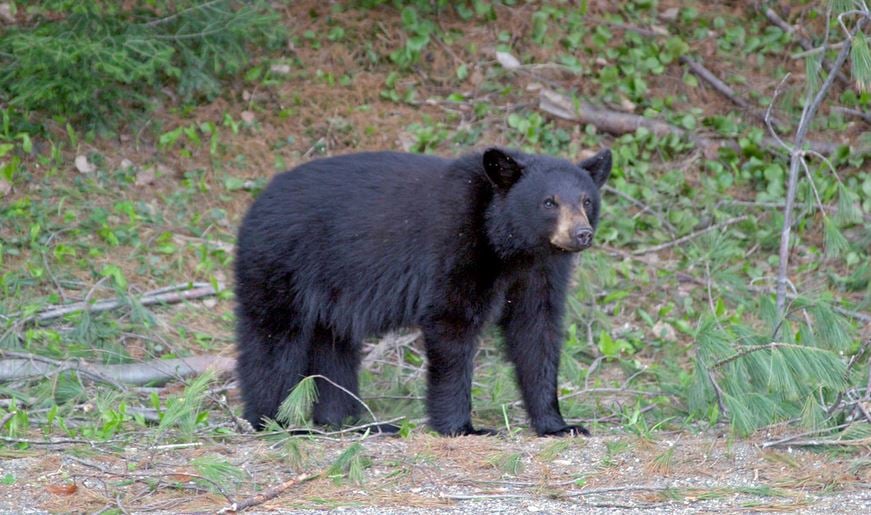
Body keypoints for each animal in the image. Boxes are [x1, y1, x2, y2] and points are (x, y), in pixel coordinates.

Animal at [235, 147, 608, 438]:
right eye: (549, 202)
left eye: (587, 200)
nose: (581, 234)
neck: (510, 245)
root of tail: (257, 202)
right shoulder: (455, 247)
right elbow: (452, 322)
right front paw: (463, 427)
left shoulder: (540, 272)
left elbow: (536, 332)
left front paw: (559, 424)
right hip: (283, 264)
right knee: (273, 340)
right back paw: (279, 422)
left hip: (332, 291)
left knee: (333, 345)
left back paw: (352, 422)